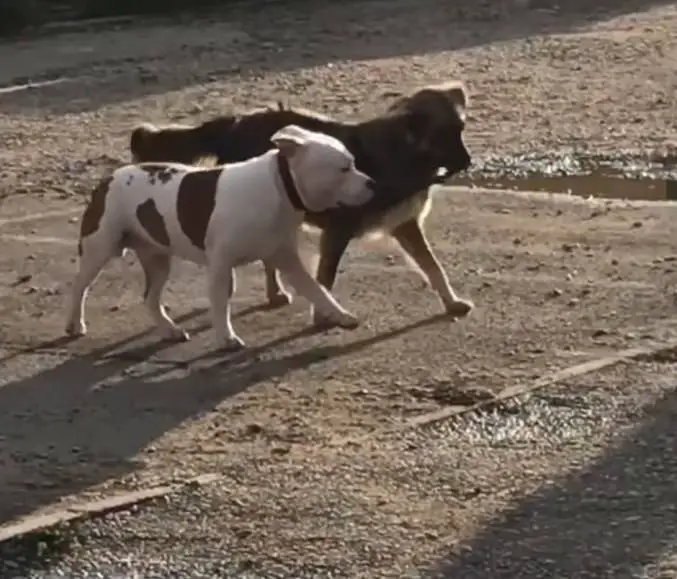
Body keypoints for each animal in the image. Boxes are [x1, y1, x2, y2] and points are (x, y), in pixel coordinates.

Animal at [64, 123, 374, 348]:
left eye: (354, 163)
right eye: (344, 168)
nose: (372, 183)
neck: (281, 186)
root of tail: (107, 179)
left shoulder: (287, 260)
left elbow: (316, 290)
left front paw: (340, 315)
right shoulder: (221, 265)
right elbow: (221, 302)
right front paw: (226, 337)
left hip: (157, 258)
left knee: (150, 298)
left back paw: (170, 330)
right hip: (98, 249)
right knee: (79, 286)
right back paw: (74, 324)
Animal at [129, 81, 472, 326]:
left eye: (461, 130)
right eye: (443, 135)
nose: (469, 162)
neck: (404, 151)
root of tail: (236, 121)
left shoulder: (405, 225)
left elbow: (433, 266)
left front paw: (451, 301)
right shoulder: (337, 231)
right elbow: (325, 278)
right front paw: (323, 315)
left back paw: (275, 292)